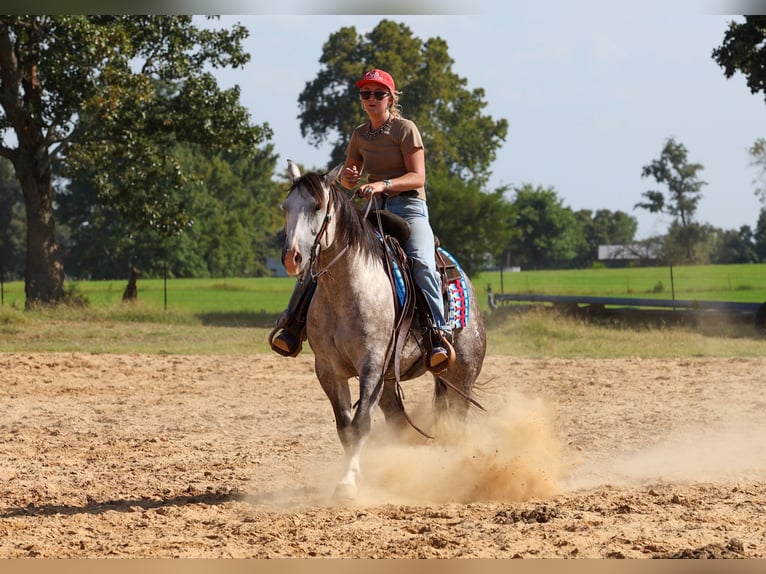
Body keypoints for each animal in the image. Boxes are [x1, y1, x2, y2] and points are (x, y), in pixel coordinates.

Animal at [280, 160, 486, 500]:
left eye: (318, 206)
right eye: (286, 207)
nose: (292, 258)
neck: (346, 288)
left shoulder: (372, 365)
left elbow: (361, 423)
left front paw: (347, 485)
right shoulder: (328, 369)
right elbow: (345, 427)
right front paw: (355, 477)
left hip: (462, 375)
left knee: (457, 423)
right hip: (393, 382)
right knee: (400, 423)